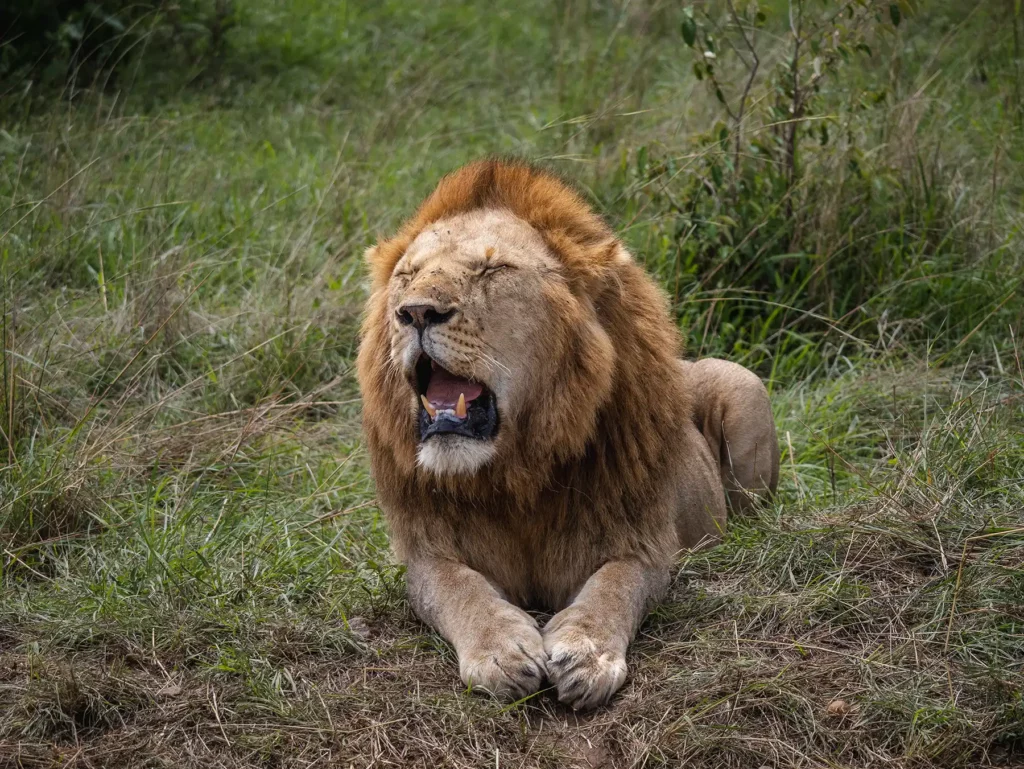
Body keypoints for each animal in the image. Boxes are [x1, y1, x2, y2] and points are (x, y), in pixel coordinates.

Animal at [356, 159, 779, 709]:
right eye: (406, 276)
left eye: (493, 270)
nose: (416, 312)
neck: (515, 472)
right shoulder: (428, 550)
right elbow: (459, 591)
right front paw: (500, 652)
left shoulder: (643, 541)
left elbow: (615, 587)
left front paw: (585, 653)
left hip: (742, 386)